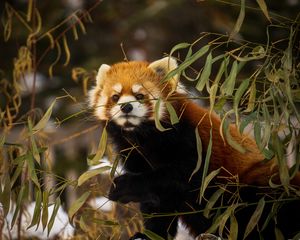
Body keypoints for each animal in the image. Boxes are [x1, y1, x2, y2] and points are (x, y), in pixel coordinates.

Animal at [89, 57, 300, 239]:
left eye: (139, 95)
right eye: (115, 97)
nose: (126, 107)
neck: (143, 136)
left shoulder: (192, 143)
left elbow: (180, 178)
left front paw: (123, 186)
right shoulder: (135, 155)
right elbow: (158, 206)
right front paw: (150, 234)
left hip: (257, 190)